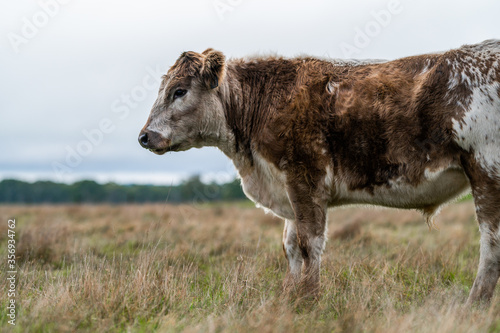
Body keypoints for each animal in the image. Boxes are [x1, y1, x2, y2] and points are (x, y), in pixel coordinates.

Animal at [138, 40, 500, 304]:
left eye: (179, 91)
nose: (144, 136)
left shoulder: (304, 178)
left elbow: (308, 243)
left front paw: (309, 299)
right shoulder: (287, 190)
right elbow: (289, 246)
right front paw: (290, 296)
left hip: (486, 169)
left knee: (491, 243)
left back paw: (474, 304)